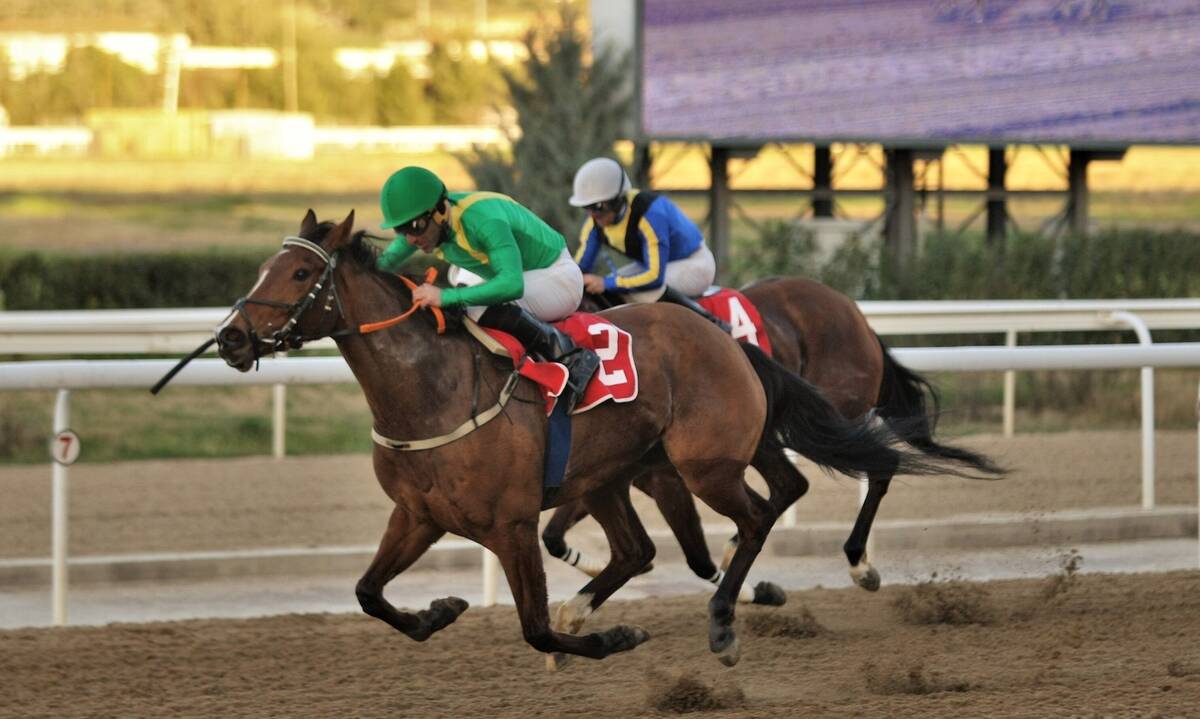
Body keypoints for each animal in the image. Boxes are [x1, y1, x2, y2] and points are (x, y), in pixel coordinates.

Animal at [542, 278, 1003, 593]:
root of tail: (856, 316)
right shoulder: (604, 472)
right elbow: (553, 535)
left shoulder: (657, 475)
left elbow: (694, 554)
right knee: (792, 484)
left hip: (822, 415)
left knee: (872, 463)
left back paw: (858, 562)